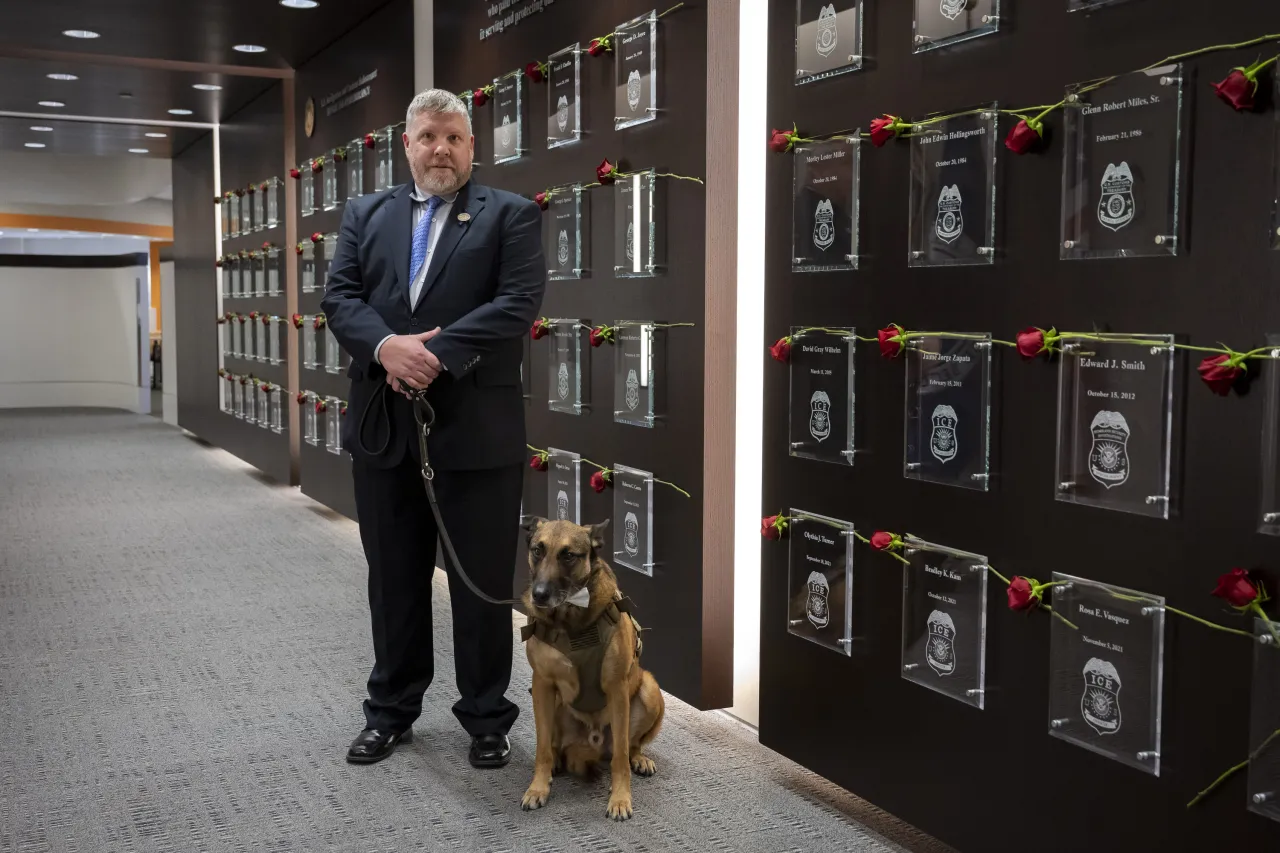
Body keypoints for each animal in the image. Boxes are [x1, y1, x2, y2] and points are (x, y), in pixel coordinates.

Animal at [519, 514, 665, 819]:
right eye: (537, 550)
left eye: (568, 555)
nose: (539, 595)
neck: (570, 617)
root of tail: (593, 743)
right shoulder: (542, 683)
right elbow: (542, 748)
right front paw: (538, 788)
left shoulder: (617, 689)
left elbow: (620, 757)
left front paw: (620, 798)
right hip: (551, 702)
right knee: (554, 746)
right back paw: (557, 762)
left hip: (649, 690)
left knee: (630, 746)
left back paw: (639, 759)